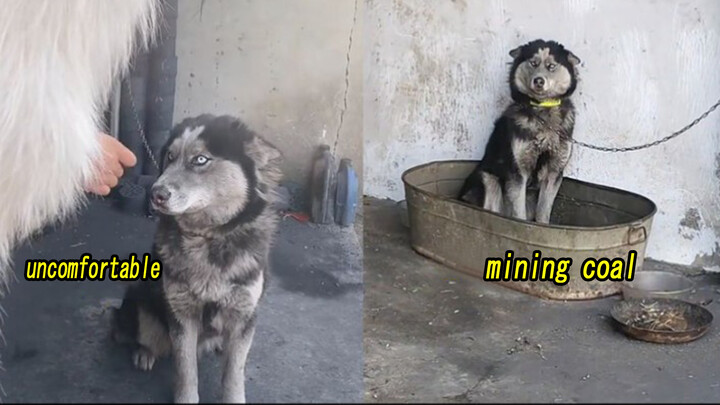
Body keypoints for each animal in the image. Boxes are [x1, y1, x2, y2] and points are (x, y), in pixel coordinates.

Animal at [458, 39, 584, 223]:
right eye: (533, 63)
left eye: (551, 66)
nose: (539, 81)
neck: (543, 110)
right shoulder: (517, 172)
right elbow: (519, 215)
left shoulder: (554, 172)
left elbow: (543, 214)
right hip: (488, 179)